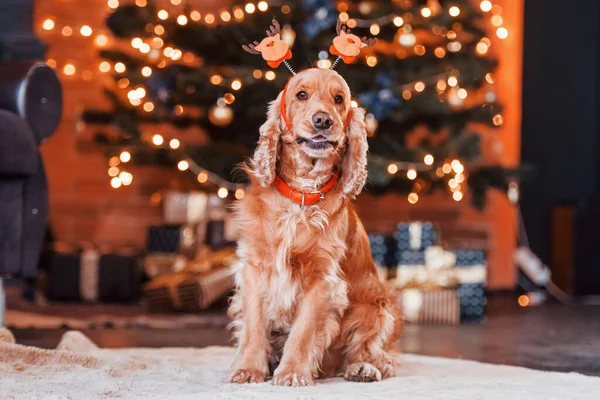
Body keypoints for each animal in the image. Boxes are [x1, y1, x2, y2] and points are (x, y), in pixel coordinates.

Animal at [227, 67, 400, 386]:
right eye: (301, 94)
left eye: (339, 99)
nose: (323, 120)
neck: (303, 193)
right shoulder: (255, 269)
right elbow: (254, 325)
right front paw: (248, 370)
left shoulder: (322, 278)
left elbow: (304, 330)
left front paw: (292, 373)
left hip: (376, 307)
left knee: (375, 354)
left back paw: (363, 369)